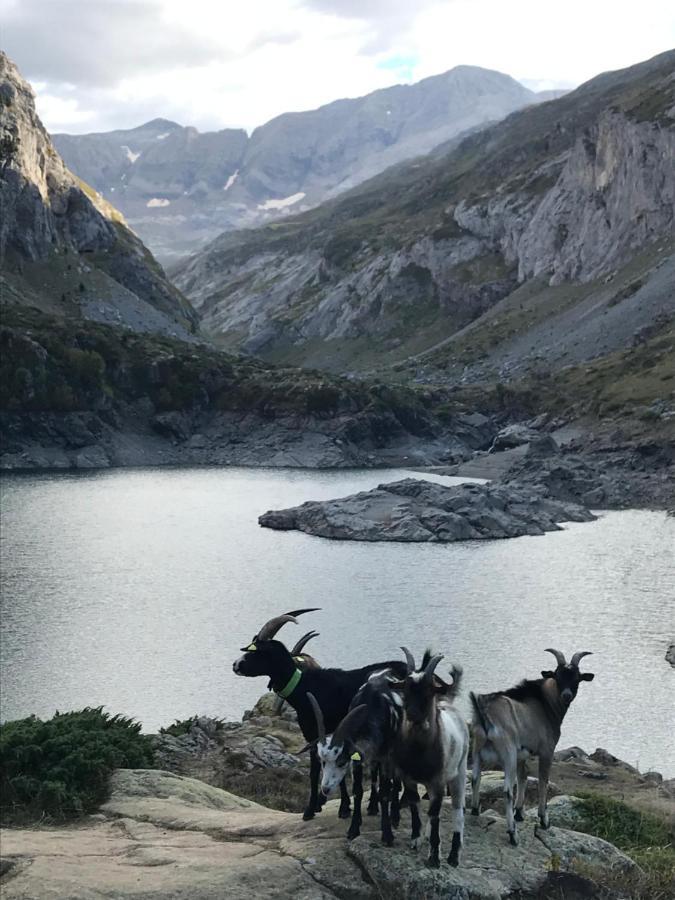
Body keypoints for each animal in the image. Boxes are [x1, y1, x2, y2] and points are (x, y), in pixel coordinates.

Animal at [235, 612, 406, 824]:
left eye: (256, 651)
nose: (235, 665)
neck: (306, 687)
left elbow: (324, 771)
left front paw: (325, 809)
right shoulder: (314, 735)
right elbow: (320, 770)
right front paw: (322, 806)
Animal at [308, 672, 404, 848]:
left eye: (341, 762)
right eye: (323, 761)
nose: (325, 789)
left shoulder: (386, 756)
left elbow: (385, 792)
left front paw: (387, 834)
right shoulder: (357, 761)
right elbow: (358, 791)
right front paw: (353, 828)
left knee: (395, 780)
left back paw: (394, 814)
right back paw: (372, 806)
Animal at [390, 652, 470, 868]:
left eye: (428, 692)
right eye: (405, 690)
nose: (412, 714)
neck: (419, 752)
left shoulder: (438, 781)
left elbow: (434, 814)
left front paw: (434, 857)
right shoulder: (407, 777)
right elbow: (415, 805)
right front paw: (416, 838)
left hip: (459, 772)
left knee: (459, 811)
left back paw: (454, 856)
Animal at [470, 648, 596, 844]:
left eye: (577, 678)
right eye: (558, 676)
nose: (566, 695)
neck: (544, 704)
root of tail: (486, 716)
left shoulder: (522, 755)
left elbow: (523, 777)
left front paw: (520, 813)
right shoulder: (546, 751)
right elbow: (543, 781)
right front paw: (544, 820)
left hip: (477, 751)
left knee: (475, 779)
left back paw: (475, 812)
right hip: (507, 754)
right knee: (507, 790)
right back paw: (513, 834)